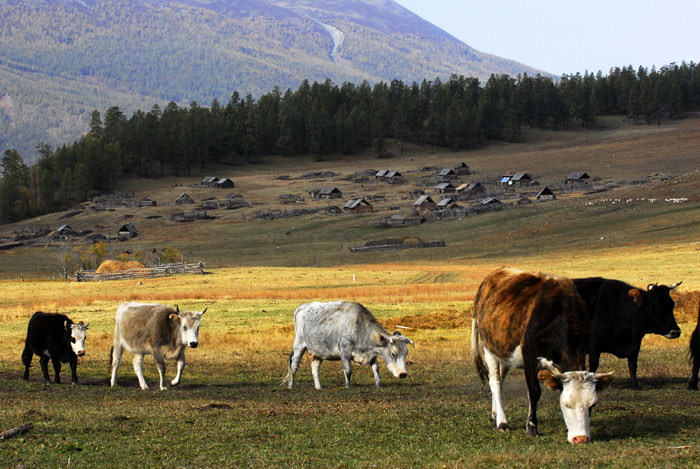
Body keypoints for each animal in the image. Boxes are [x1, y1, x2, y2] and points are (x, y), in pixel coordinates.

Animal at [282, 300, 412, 388]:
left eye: (406, 353)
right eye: (393, 353)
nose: (403, 374)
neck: (360, 327)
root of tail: (302, 307)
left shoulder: (372, 353)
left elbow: (376, 368)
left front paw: (378, 384)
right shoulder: (344, 351)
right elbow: (348, 370)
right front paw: (347, 386)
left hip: (319, 352)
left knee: (314, 367)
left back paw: (318, 387)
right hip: (299, 346)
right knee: (294, 366)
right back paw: (290, 385)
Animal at [470, 266, 612, 442]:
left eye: (592, 405)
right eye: (566, 404)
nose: (580, 438)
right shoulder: (530, 358)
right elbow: (534, 392)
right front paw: (531, 427)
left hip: (505, 351)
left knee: (501, 380)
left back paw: (495, 414)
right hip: (489, 348)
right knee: (495, 381)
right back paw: (502, 422)